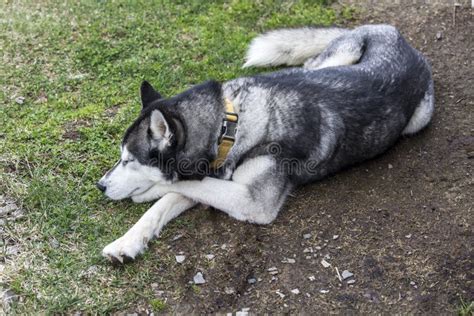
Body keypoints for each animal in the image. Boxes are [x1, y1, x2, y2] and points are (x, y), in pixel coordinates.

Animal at [96, 24, 434, 262]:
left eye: (129, 160)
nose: (100, 185)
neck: (229, 128)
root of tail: (399, 37)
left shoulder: (252, 201)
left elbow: (182, 184)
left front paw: (149, 190)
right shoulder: (216, 173)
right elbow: (170, 199)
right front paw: (126, 242)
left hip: (418, 120)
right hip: (332, 62)